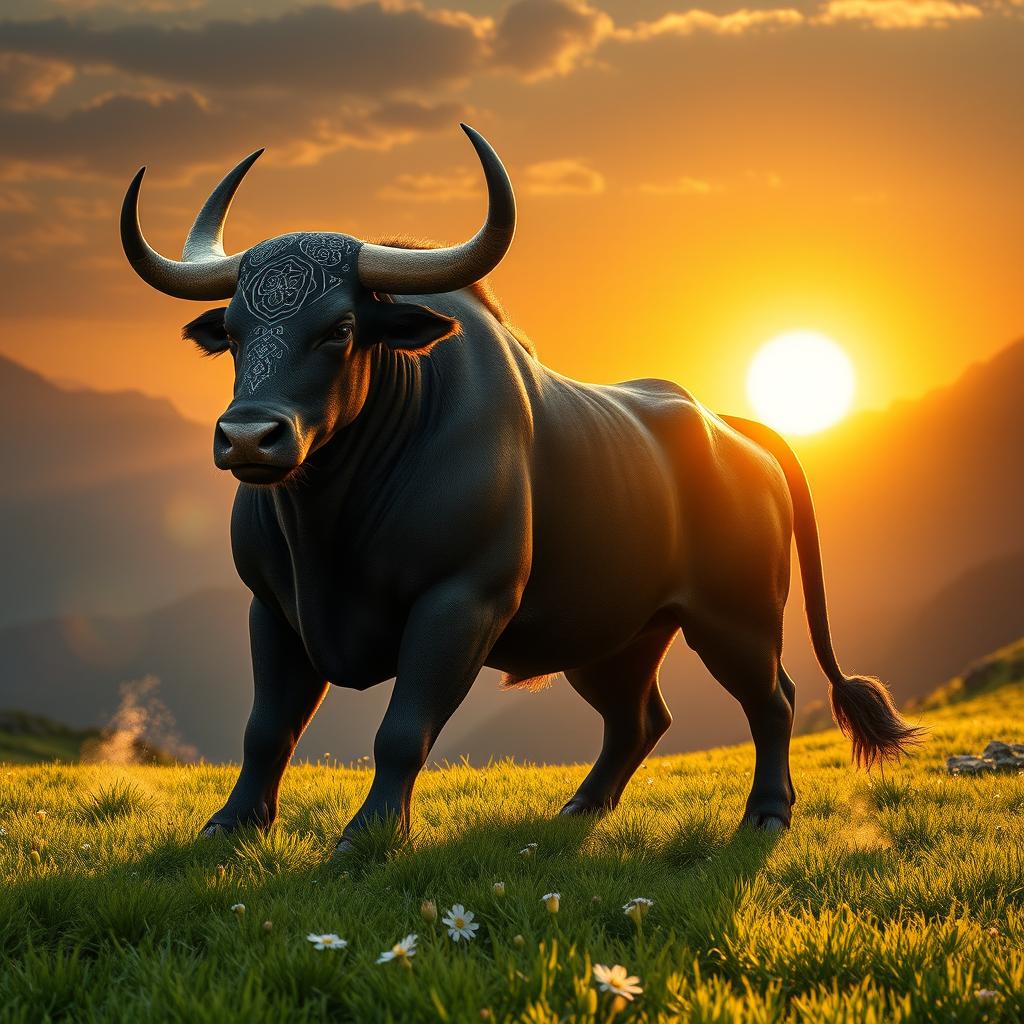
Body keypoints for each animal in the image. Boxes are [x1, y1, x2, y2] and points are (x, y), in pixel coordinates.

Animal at [121, 124, 920, 854]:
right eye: (232, 329)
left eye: (339, 328)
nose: (248, 437)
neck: (331, 524)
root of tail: (734, 431)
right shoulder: (273, 608)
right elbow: (267, 728)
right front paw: (229, 825)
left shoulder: (460, 602)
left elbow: (402, 729)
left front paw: (367, 838)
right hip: (616, 634)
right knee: (639, 718)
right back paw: (580, 809)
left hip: (738, 616)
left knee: (773, 701)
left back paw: (766, 814)